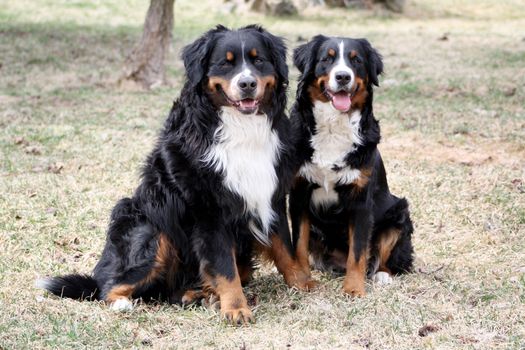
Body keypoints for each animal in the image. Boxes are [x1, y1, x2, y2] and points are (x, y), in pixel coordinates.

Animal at [39, 25, 316, 326]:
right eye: (225, 63)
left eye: (258, 60)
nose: (247, 84)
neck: (240, 128)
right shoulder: (209, 210)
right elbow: (225, 266)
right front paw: (236, 308)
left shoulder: (270, 193)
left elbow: (283, 246)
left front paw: (302, 282)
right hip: (149, 227)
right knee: (110, 285)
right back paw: (126, 302)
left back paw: (198, 295)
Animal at [286, 35, 414, 296]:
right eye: (327, 58)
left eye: (356, 60)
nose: (343, 77)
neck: (333, 128)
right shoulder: (299, 193)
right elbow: (299, 245)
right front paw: (303, 280)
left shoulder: (360, 199)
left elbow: (357, 252)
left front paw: (354, 289)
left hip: (399, 213)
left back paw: (382, 275)